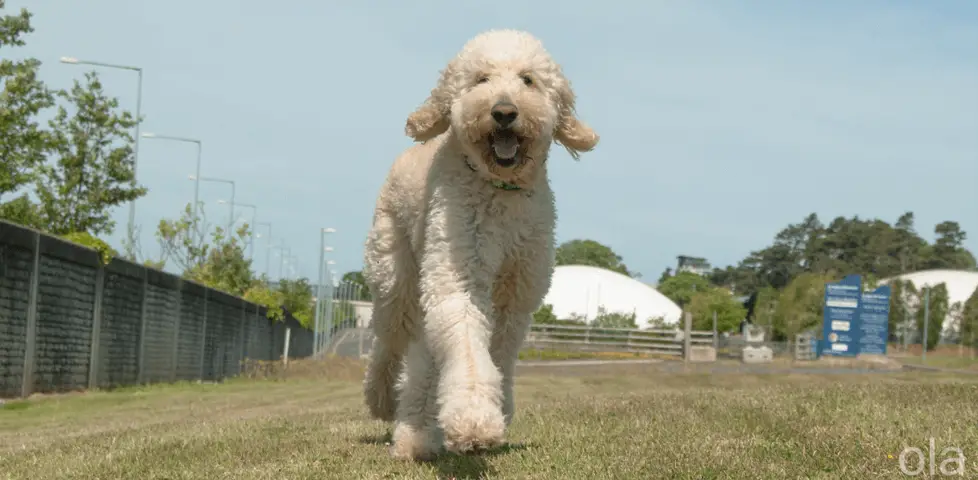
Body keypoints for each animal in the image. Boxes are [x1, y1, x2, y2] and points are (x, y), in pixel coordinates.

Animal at [362, 30, 600, 462]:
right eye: (480, 79)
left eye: (527, 80)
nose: (504, 111)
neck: (499, 190)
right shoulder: (458, 276)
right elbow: (469, 347)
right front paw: (474, 420)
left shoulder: (516, 294)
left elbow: (497, 353)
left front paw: (497, 409)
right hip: (394, 273)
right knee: (390, 339)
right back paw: (384, 403)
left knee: (422, 358)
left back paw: (415, 430)